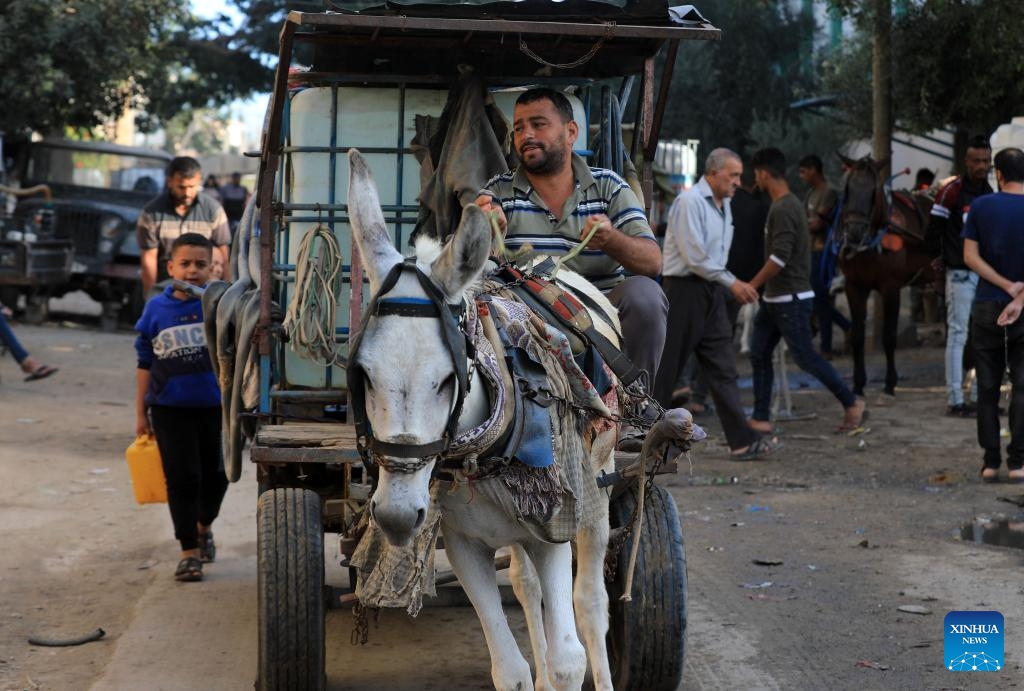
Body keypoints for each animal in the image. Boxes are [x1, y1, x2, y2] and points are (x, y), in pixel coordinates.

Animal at [835, 154, 937, 397]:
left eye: (874, 192)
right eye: (847, 190)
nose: (854, 233)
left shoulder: (891, 287)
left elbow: (889, 337)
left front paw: (890, 382)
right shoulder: (854, 286)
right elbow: (857, 336)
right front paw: (858, 383)